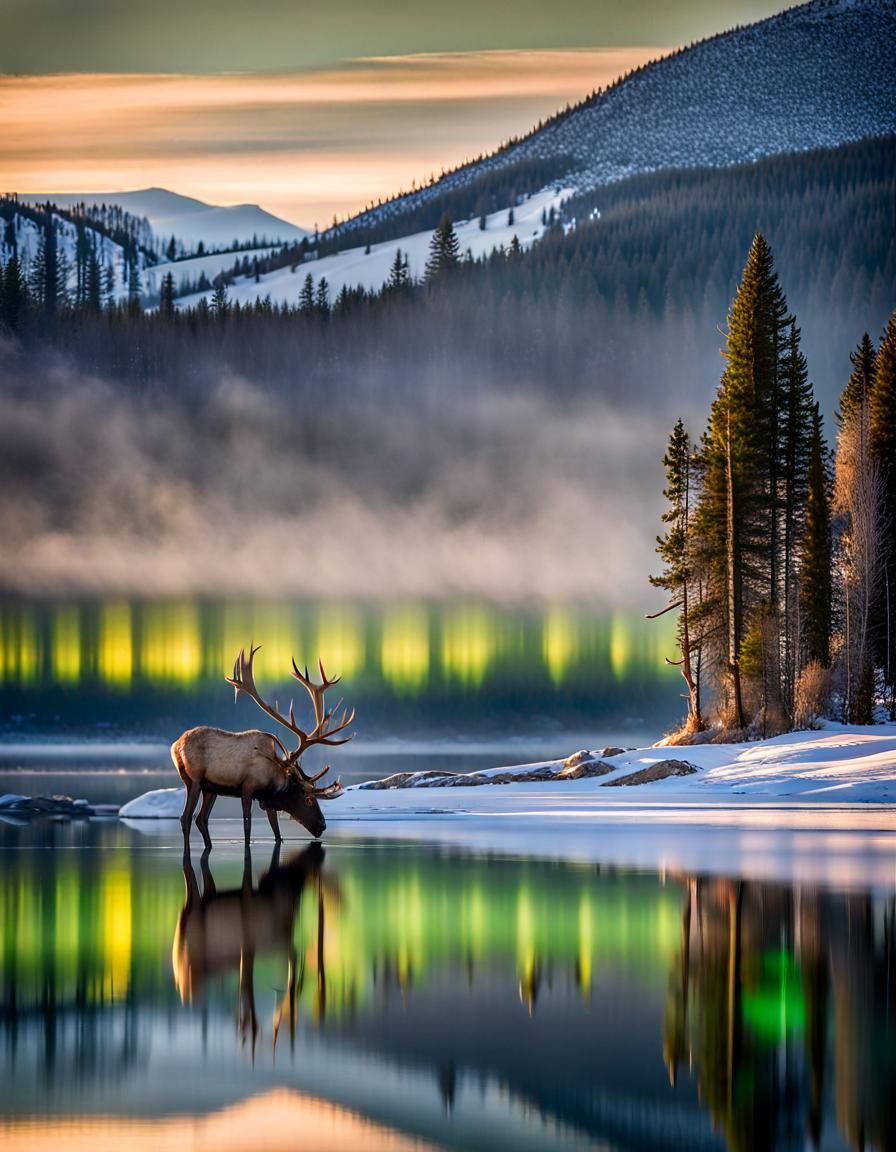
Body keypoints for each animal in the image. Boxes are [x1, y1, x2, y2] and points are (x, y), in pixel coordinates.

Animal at [171, 645, 354, 848]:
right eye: (308, 799)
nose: (322, 826)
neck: (274, 777)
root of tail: (175, 745)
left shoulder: (266, 800)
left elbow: (277, 833)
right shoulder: (248, 788)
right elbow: (247, 826)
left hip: (210, 788)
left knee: (201, 818)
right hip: (193, 779)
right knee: (186, 817)